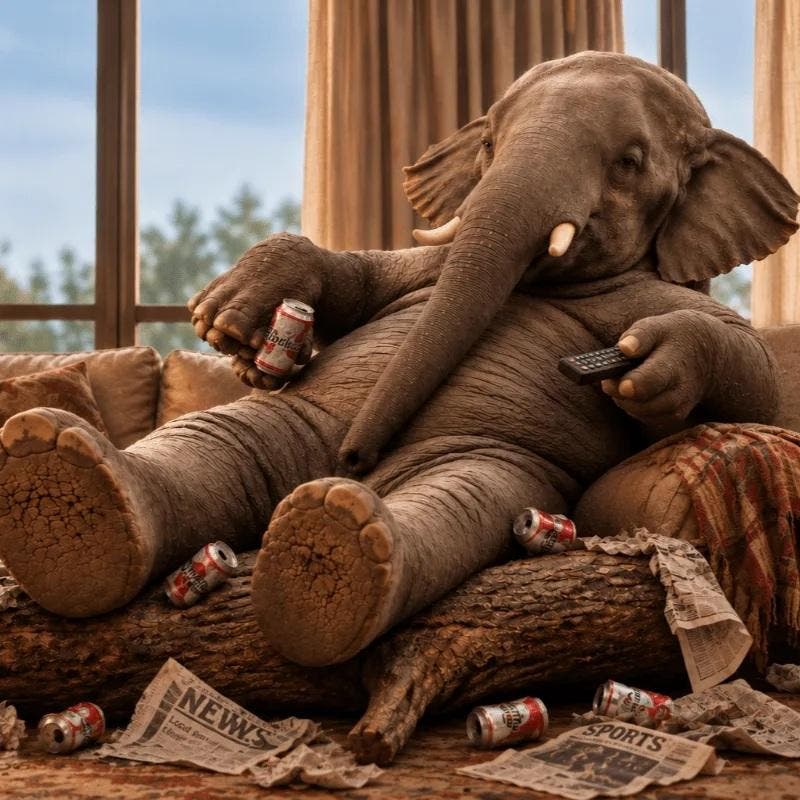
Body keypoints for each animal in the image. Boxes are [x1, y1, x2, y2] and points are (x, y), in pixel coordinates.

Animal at [0, 52, 797, 671]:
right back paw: (65, 486)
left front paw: (643, 367)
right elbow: (364, 283)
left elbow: (752, 377)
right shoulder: (421, 265)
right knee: (222, 439)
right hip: (289, 421)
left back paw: (338, 542)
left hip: (487, 468)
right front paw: (235, 315)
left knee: (459, 498)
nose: (357, 455)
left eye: (629, 163)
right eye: (489, 144)